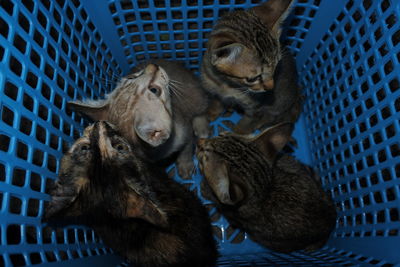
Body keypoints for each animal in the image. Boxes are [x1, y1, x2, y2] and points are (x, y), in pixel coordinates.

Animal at [197, 123, 338, 253]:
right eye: (220, 135)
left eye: (203, 158)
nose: (199, 141)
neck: (266, 189)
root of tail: (331, 222)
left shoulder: (232, 214)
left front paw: (205, 188)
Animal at [202, 0, 302, 134]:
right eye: (253, 78)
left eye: (276, 68)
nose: (271, 88)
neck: (227, 84)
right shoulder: (217, 93)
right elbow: (217, 103)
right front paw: (211, 113)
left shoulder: (256, 109)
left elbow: (246, 123)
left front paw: (237, 133)